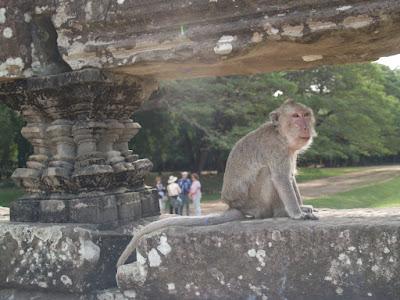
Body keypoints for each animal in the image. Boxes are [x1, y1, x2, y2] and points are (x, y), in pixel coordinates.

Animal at [116, 99, 318, 266]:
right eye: (296, 116)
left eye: (306, 115)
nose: (306, 126)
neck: (280, 135)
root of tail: (235, 206)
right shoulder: (276, 149)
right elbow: (281, 178)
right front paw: (296, 213)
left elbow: (290, 178)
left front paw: (302, 207)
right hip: (256, 203)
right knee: (268, 174)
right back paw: (280, 212)